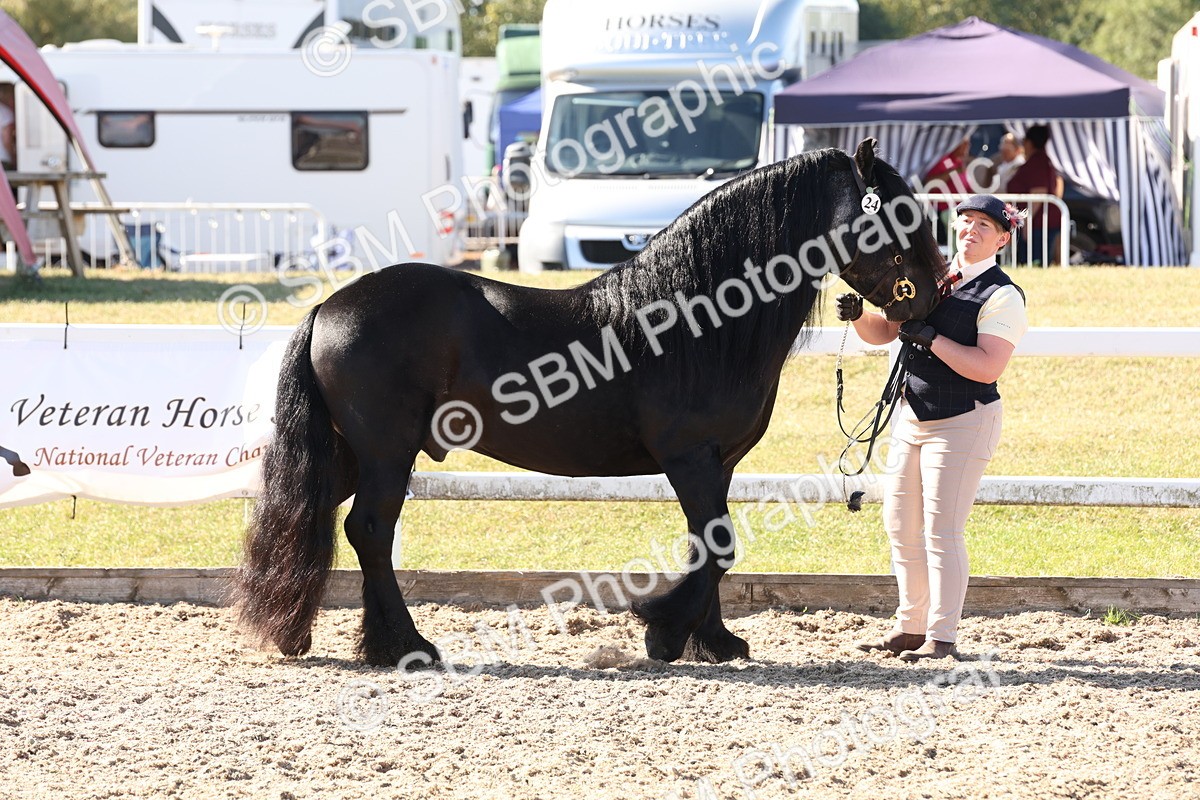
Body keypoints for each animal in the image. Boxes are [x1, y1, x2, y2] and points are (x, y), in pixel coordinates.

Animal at [233, 138, 948, 667]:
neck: (696, 319)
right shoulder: (690, 458)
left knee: (316, 519)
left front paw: (714, 642)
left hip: (350, 453)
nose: (936, 298)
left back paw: (316, 634)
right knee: (370, 531)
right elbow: (717, 548)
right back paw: (405, 645)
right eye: (897, 212)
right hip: (386, 451)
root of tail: (331, 306)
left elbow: (711, 542)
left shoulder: (719, 464)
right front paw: (663, 630)